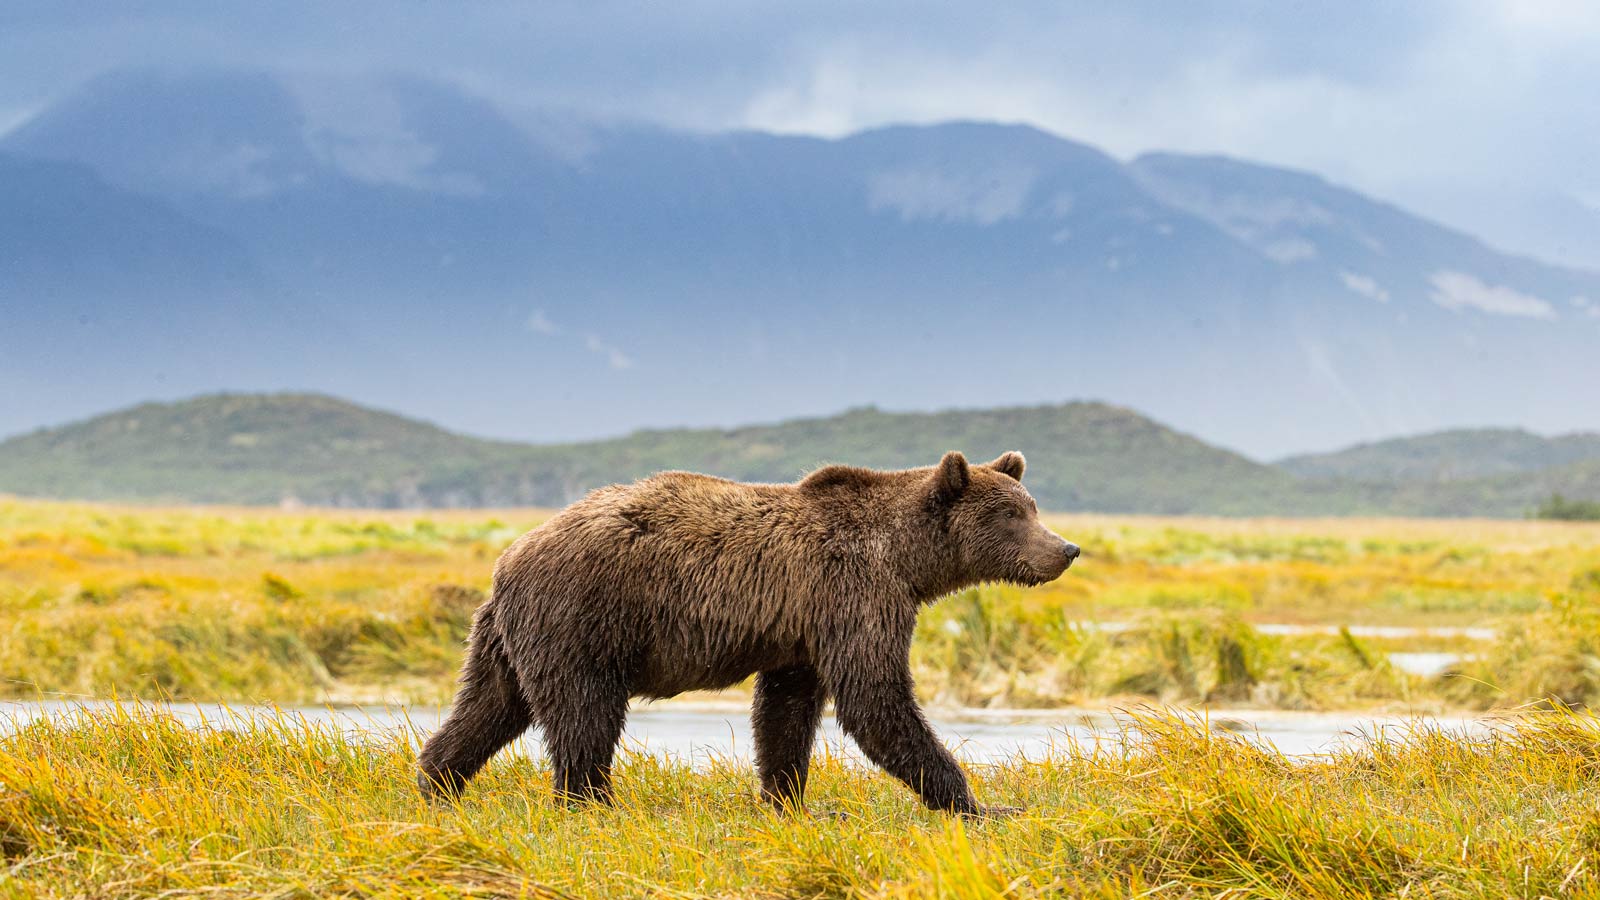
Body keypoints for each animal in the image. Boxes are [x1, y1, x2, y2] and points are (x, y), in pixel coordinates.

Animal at [416, 450, 1079, 816]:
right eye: (1013, 514)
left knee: (490, 705)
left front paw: (787, 800)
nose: (1066, 549)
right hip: (583, 620)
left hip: (507, 636)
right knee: (585, 716)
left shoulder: (805, 628)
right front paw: (981, 803)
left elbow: (786, 710)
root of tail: (509, 558)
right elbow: (875, 699)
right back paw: (594, 803)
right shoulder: (854, 594)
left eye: (1033, 506)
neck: (908, 560)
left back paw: (435, 781)